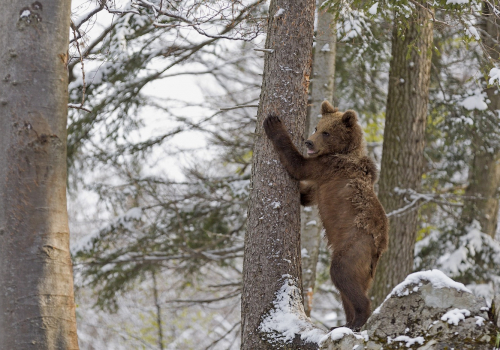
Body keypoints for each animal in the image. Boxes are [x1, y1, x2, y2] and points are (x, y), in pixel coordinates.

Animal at [264, 100, 388, 330]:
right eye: (316, 127)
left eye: (327, 132)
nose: (308, 142)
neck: (343, 152)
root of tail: (379, 247)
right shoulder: (321, 182)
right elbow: (307, 196)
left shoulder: (327, 167)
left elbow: (297, 164)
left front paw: (273, 124)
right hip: (364, 268)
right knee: (351, 287)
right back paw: (344, 322)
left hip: (354, 247)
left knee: (342, 275)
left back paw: (358, 319)